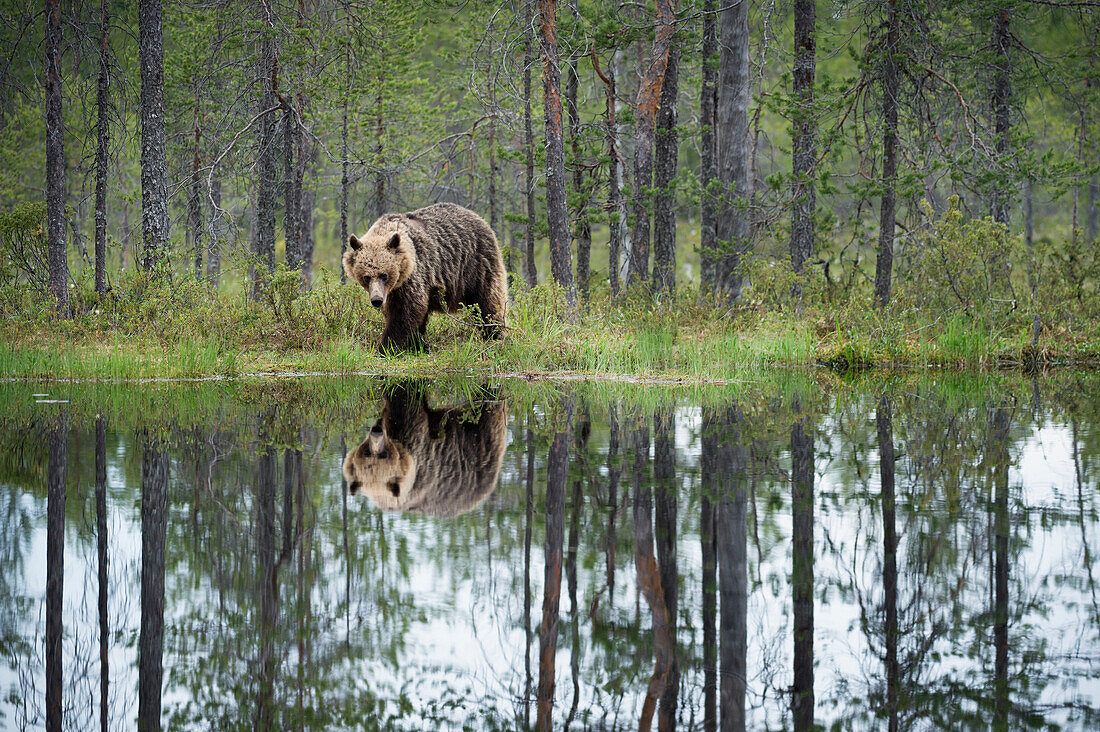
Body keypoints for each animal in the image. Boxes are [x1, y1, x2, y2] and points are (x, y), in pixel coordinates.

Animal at [341, 201, 508, 352]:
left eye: (384, 275)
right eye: (366, 277)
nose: (377, 300)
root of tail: (478, 217)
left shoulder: (413, 276)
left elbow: (406, 310)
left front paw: (386, 347)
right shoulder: (396, 289)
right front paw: (417, 345)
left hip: (477, 265)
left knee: (488, 301)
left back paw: (495, 335)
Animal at [341, 378, 508, 517]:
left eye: (384, 454)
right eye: (367, 452)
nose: (377, 432)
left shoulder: (415, 439)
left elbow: (405, 398)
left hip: (477, 442)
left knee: (486, 407)